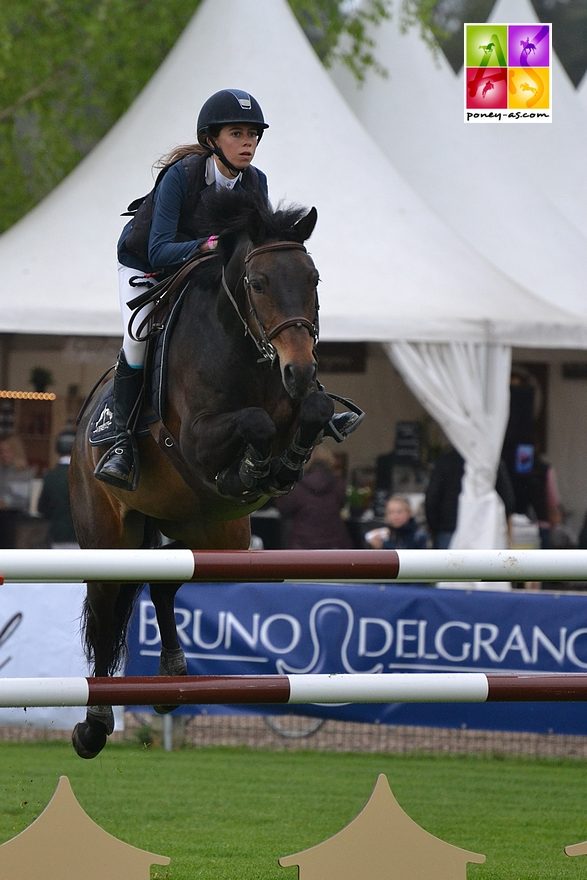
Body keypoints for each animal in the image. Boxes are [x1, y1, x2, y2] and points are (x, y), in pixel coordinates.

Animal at [71, 189, 360, 760]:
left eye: (314, 279)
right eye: (258, 283)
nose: (300, 370)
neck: (248, 348)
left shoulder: (298, 404)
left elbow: (312, 411)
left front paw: (282, 464)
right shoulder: (197, 438)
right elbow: (254, 422)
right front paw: (253, 467)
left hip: (216, 537)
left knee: (163, 584)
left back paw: (171, 683)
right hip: (107, 536)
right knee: (107, 607)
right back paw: (94, 725)